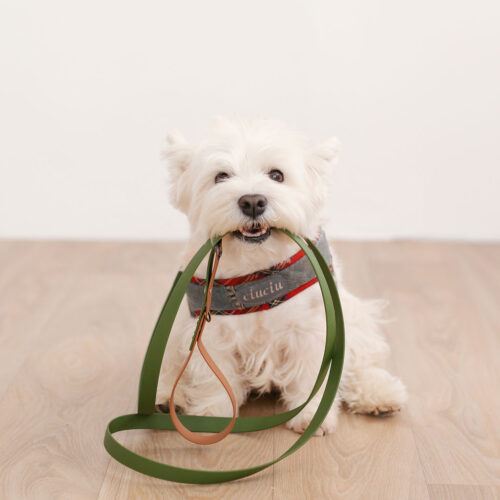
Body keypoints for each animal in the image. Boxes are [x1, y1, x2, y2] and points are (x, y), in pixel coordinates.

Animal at [158, 117, 408, 434]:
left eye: (277, 175)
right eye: (221, 176)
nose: (252, 202)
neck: (256, 273)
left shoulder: (314, 329)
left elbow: (312, 374)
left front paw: (312, 416)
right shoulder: (208, 330)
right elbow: (214, 377)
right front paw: (213, 416)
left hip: (356, 319)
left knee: (360, 361)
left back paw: (380, 395)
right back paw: (168, 399)